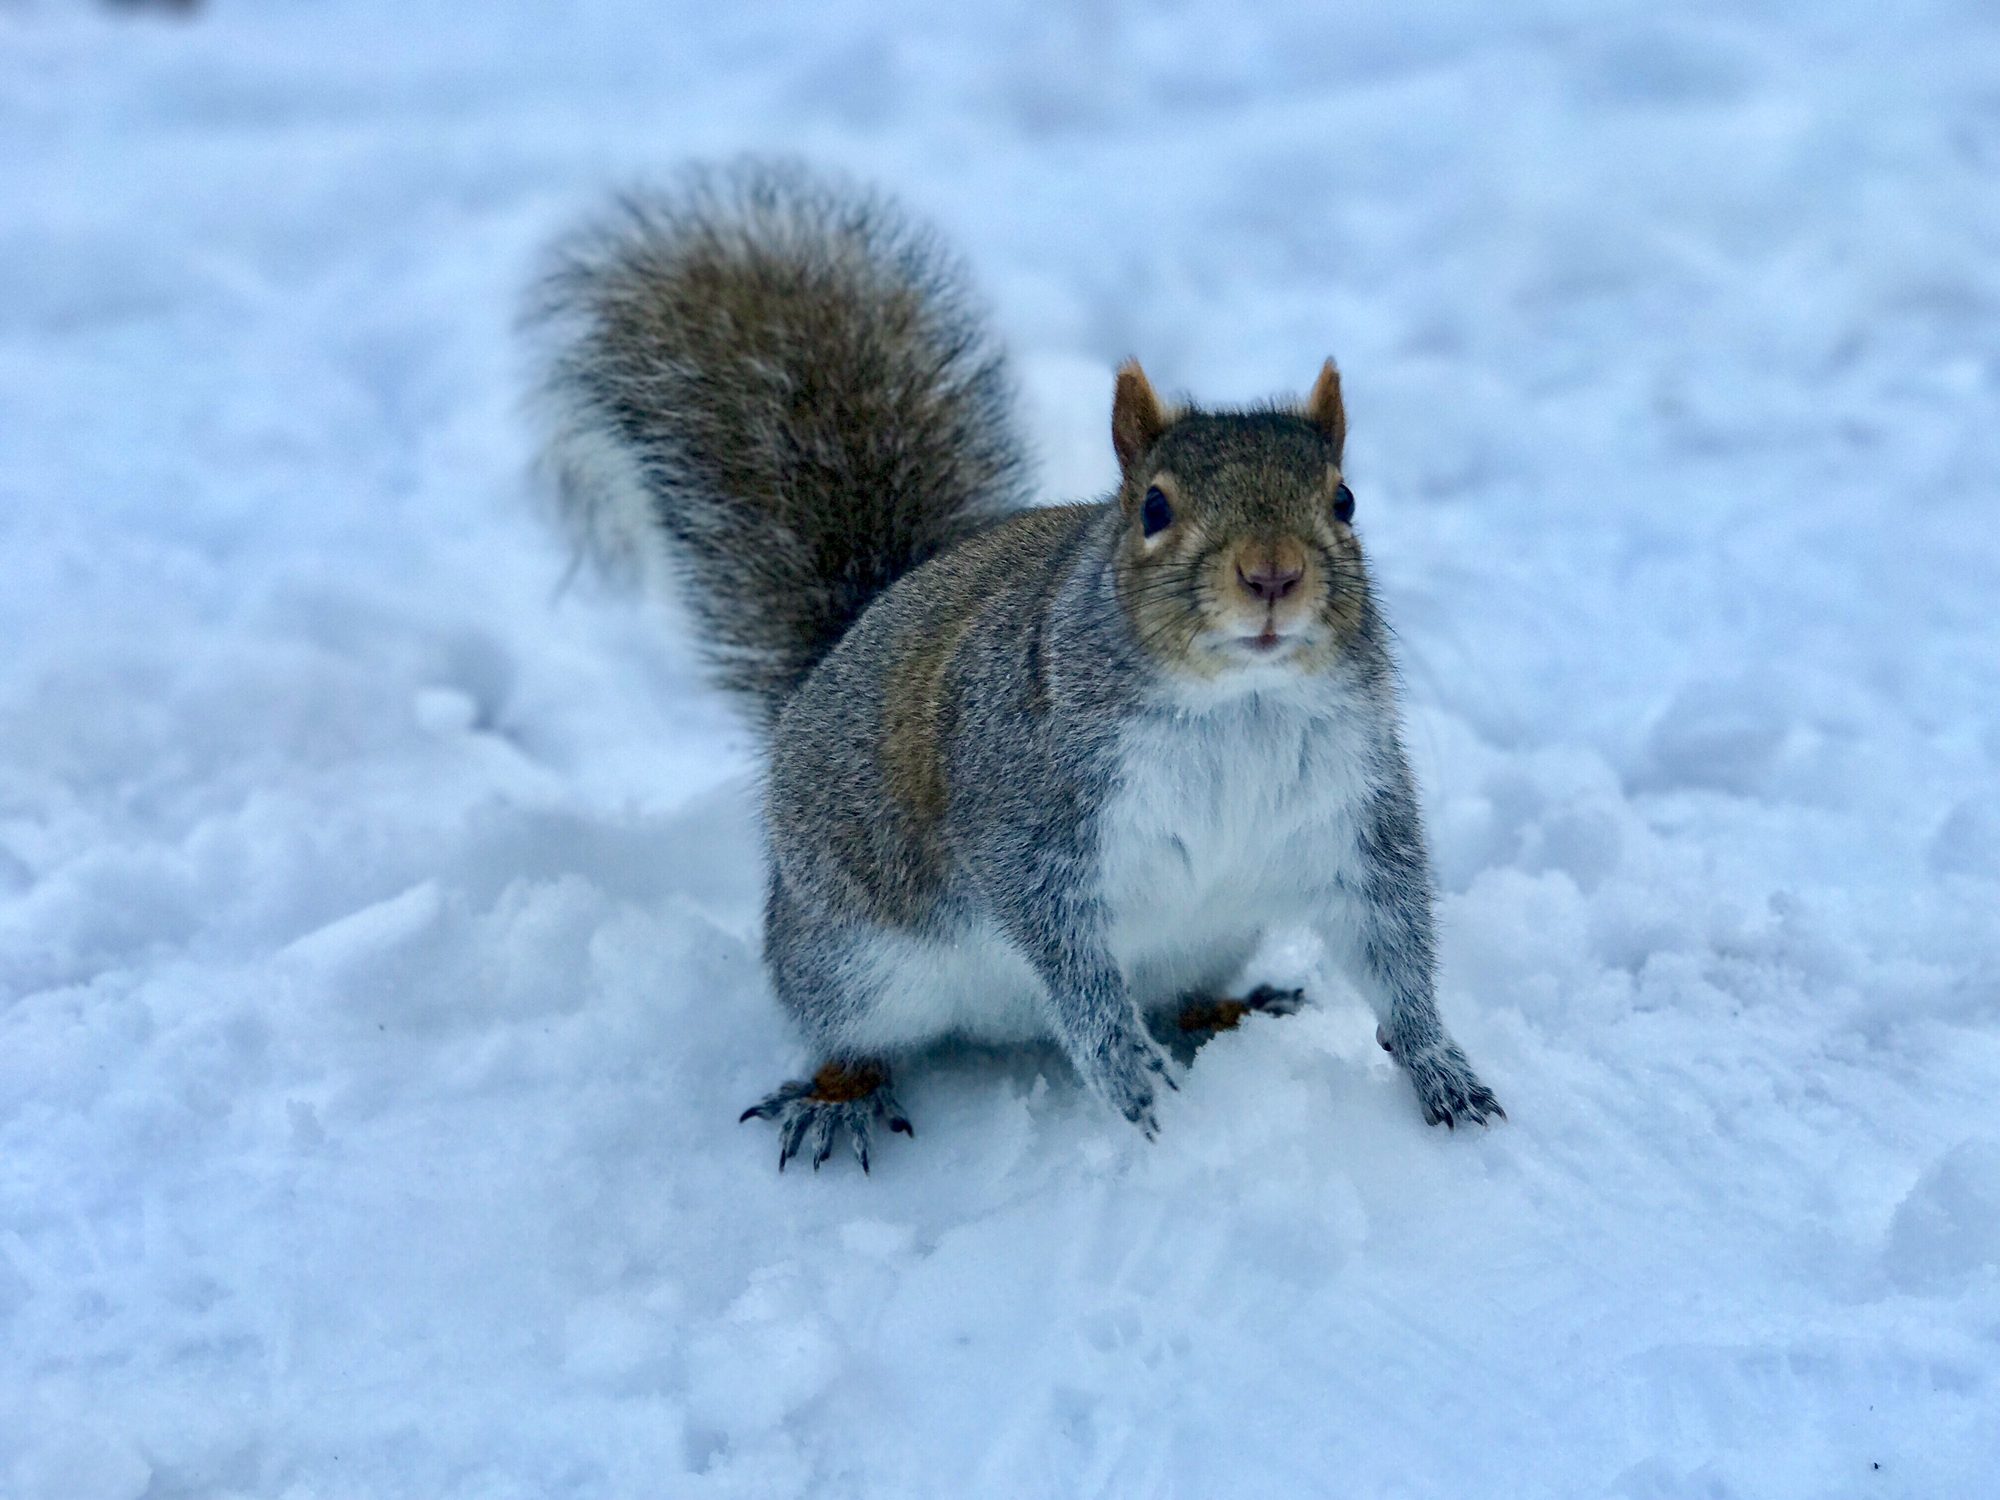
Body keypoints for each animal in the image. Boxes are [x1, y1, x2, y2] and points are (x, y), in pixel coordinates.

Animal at [527, 160, 1503, 1172]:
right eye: (1153, 509)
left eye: (1344, 502)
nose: (1272, 574)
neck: (1240, 706)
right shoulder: (1025, 808)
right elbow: (1060, 948)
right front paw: (1125, 1068)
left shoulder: (1356, 812)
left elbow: (1394, 940)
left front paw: (1439, 1062)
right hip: (849, 960)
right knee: (847, 1034)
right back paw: (841, 1097)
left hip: (1209, 939)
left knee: (1188, 994)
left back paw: (1235, 1010)